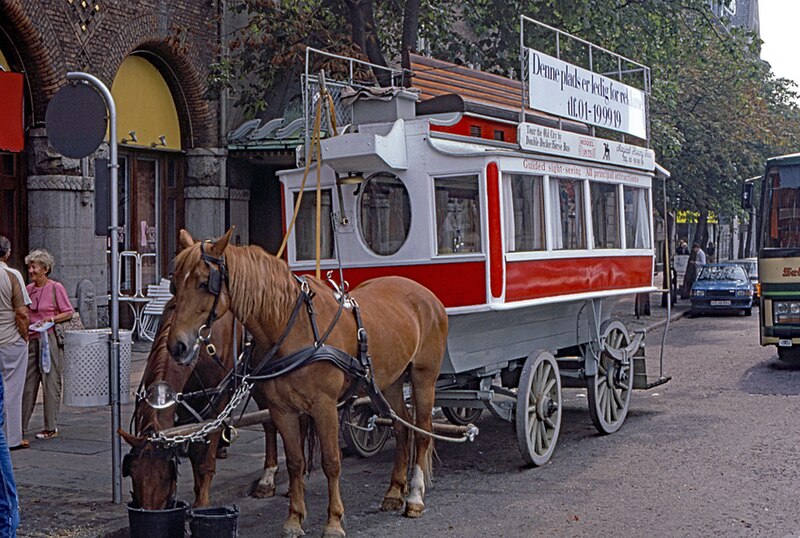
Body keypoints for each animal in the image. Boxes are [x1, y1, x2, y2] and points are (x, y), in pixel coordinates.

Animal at [119, 298, 282, 506]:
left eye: (166, 477)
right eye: (133, 473)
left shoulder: (217, 403)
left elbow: (204, 459)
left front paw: (202, 503)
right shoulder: (184, 406)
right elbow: (195, 451)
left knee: (270, 422)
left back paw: (267, 480)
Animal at [167, 227, 450, 536]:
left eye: (204, 283)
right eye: (174, 285)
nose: (177, 346)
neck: (294, 329)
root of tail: (425, 295)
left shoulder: (324, 406)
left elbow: (331, 462)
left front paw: (334, 521)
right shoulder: (282, 410)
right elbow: (294, 462)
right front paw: (294, 519)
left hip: (424, 376)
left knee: (422, 432)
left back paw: (414, 497)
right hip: (391, 381)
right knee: (401, 428)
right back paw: (394, 492)